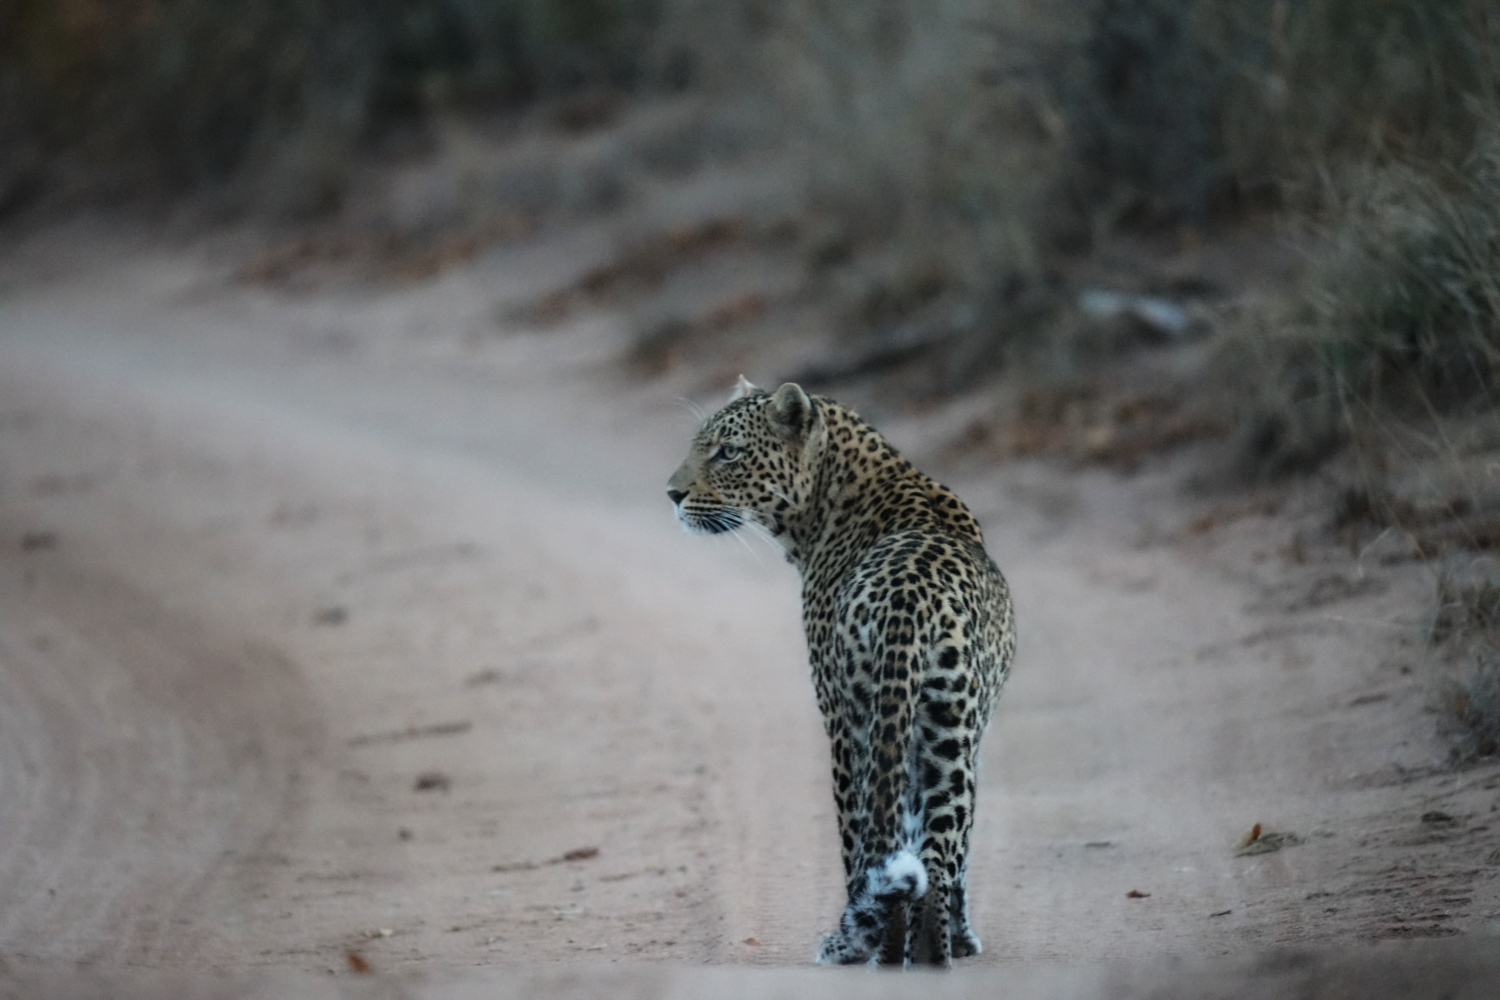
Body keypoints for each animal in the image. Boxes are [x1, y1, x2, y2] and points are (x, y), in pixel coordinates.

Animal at [672, 377, 1014, 971]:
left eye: (728, 453)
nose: (671, 494)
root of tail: (908, 598)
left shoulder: (836, 717)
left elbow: (857, 840)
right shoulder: (970, 735)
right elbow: (960, 848)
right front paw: (966, 937)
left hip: (862, 725)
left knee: (871, 841)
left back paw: (866, 944)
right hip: (947, 730)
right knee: (939, 852)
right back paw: (931, 954)